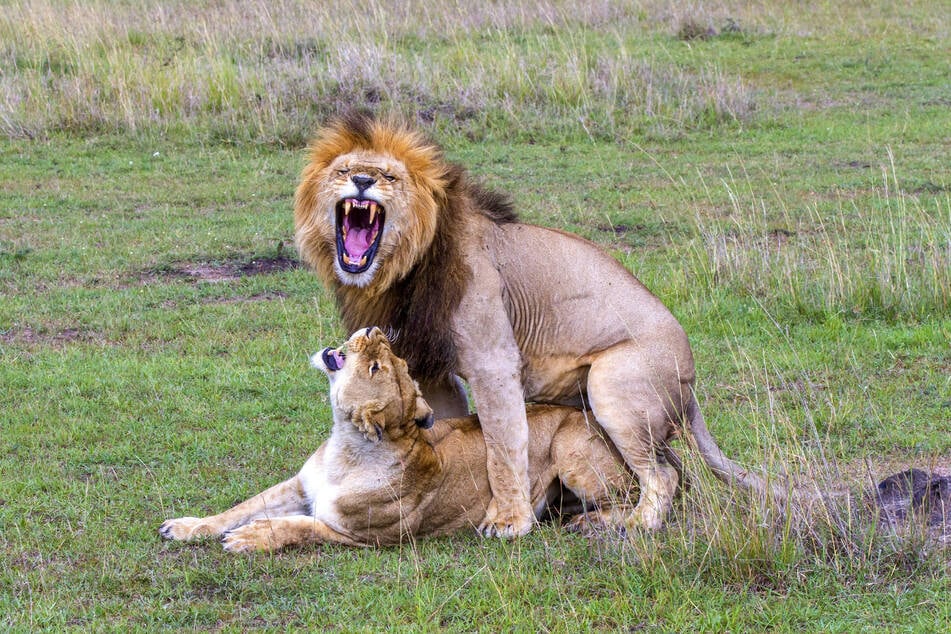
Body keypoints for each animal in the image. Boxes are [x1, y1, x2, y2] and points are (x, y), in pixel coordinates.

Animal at [159, 328, 633, 551]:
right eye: (396, 361)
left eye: (376, 367)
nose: (373, 329)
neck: (345, 448)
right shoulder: (299, 485)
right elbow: (240, 507)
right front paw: (186, 527)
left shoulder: (365, 537)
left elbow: (300, 526)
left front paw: (252, 537)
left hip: (572, 452)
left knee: (633, 495)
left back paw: (589, 521)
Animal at [294, 112, 784, 536]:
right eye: (344, 170)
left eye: (389, 177)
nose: (362, 181)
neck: (403, 268)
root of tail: (691, 374)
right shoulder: (430, 368)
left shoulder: (493, 361)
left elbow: (503, 445)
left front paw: (510, 521)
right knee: (672, 469)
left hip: (614, 384)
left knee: (662, 474)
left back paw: (629, 525)